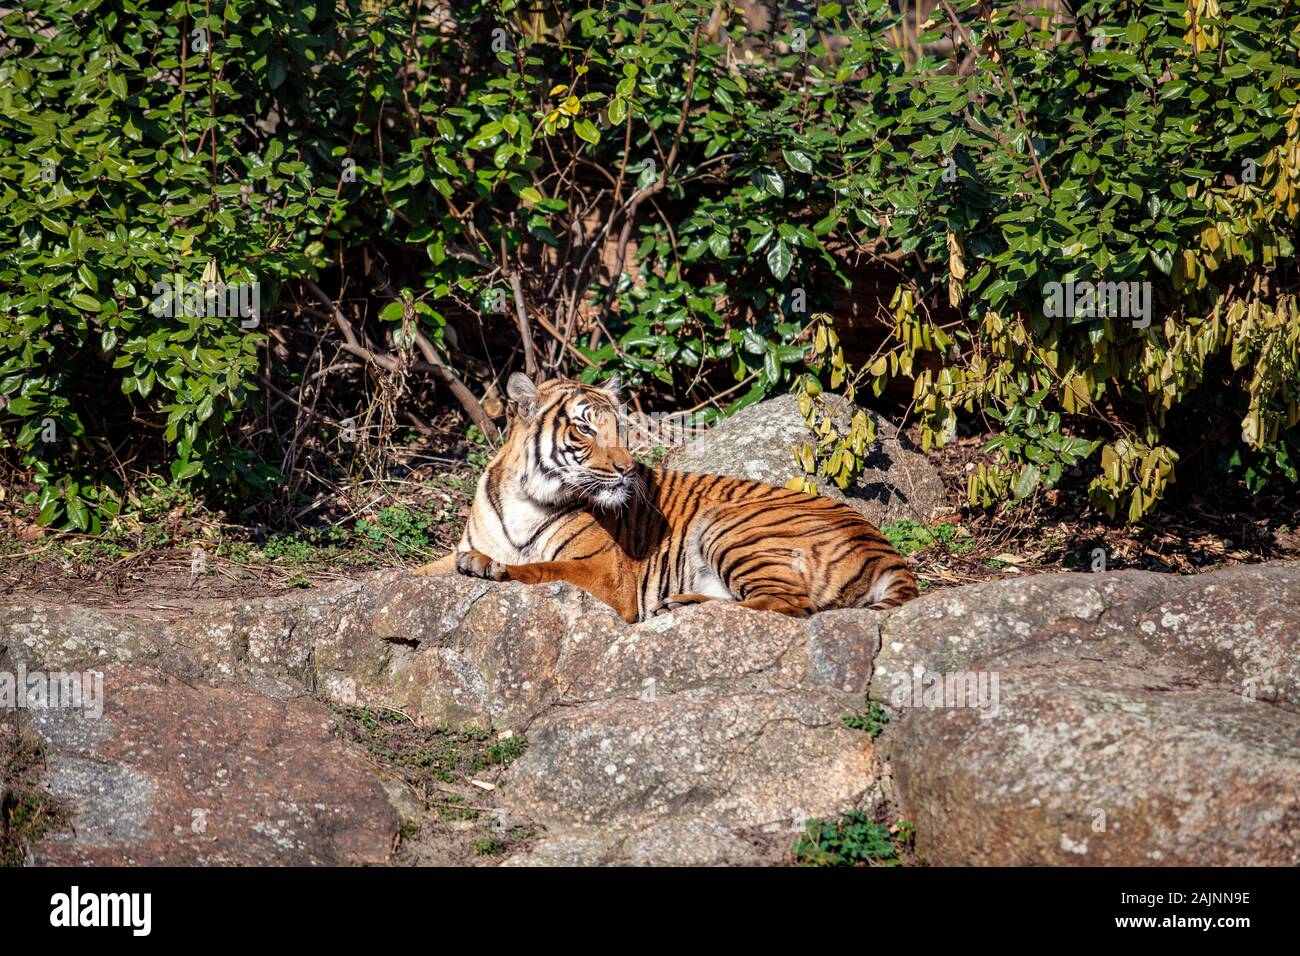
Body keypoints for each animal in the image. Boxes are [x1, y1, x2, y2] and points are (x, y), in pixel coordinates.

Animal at [410, 369, 920, 624]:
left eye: (620, 428)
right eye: (585, 429)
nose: (626, 468)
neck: (526, 497)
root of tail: (885, 548)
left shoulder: (604, 574)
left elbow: (540, 568)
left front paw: (489, 568)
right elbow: (413, 572)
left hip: (729, 523)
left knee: (791, 605)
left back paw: (679, 606)